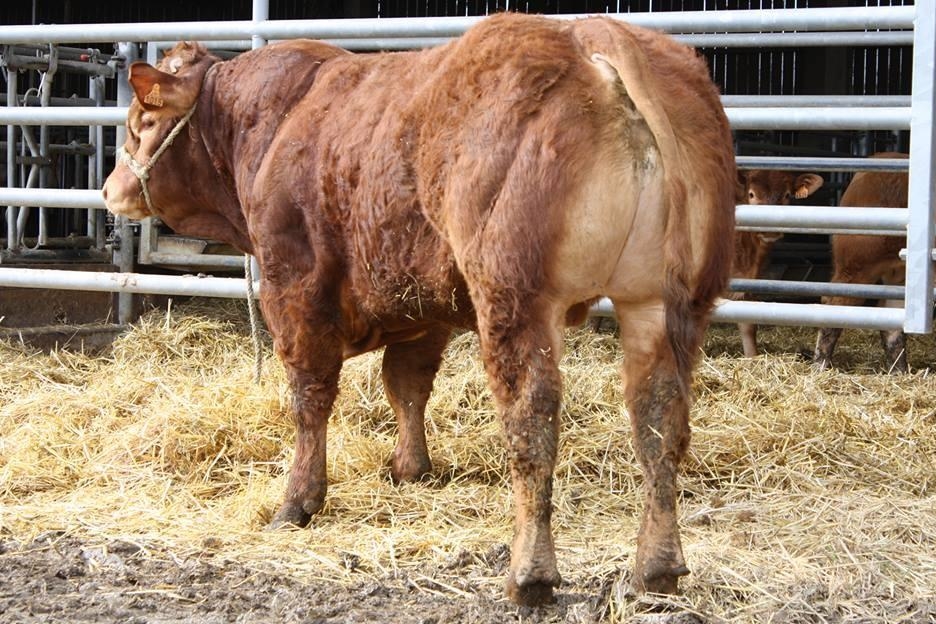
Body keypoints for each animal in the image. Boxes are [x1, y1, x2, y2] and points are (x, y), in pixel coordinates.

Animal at [102, 13, 736, 606]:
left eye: (142, 123)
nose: (110, 189)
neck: (275, 122)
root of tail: (589, 37)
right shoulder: (420, 308)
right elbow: (407, 386)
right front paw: (411, 469)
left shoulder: (294, 285)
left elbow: (310, 397)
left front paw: (298, 501)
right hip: (662, 300)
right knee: (660, 416)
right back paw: (657, 569)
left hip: (516, 296)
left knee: (532, 417)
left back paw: (530, 575)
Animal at [729, 169, 824, 356]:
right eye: (751, 194)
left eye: (787, 195)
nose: (769, 230)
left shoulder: (749, 284)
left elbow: (747, 324)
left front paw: (752, 357)